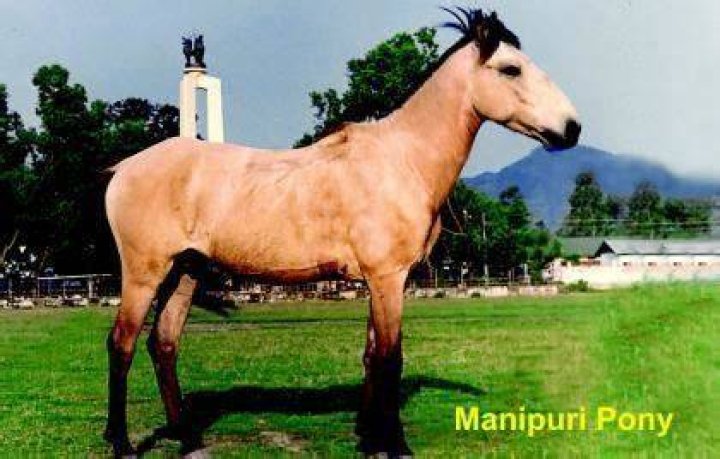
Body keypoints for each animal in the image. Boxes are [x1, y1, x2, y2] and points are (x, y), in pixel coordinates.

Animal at [103, 7, 580, 457]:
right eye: (511, 69)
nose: (572, 128)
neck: (402, 160)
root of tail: (123, 168)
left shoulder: (380, 281)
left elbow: (371, 356)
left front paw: (368, 437)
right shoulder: (388, 278)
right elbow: (390, 358)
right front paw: (395, 443)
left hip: (186, 271)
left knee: (163, 344)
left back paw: (186, 437)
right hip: (145, 273)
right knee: (122, 344)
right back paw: (122, 442)